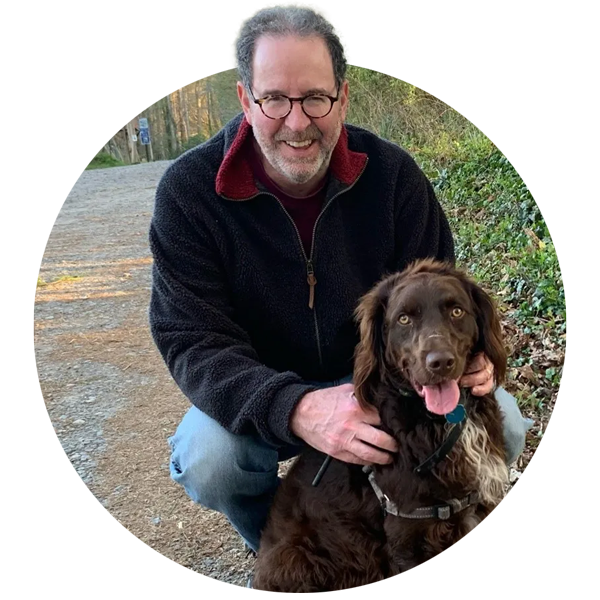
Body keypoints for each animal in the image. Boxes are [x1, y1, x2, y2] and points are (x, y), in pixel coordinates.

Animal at [251, 260, 508, 592]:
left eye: (456, 311)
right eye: (404, 319)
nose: (440, 362)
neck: (435, 423)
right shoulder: (410, 534)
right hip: (297, 556)